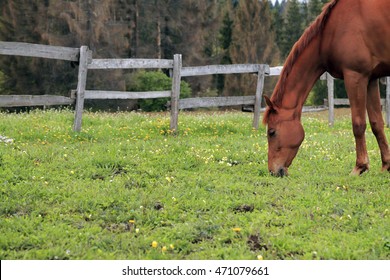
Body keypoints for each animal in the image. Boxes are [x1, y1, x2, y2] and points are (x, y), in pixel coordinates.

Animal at [262, 0, 390, 177]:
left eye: (272, 132)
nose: (273, 171)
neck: (330, 33)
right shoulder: (371, 79)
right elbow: (377, 123)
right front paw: (386, 165)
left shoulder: (355, 77)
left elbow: (358, 124)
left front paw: (360, 166)